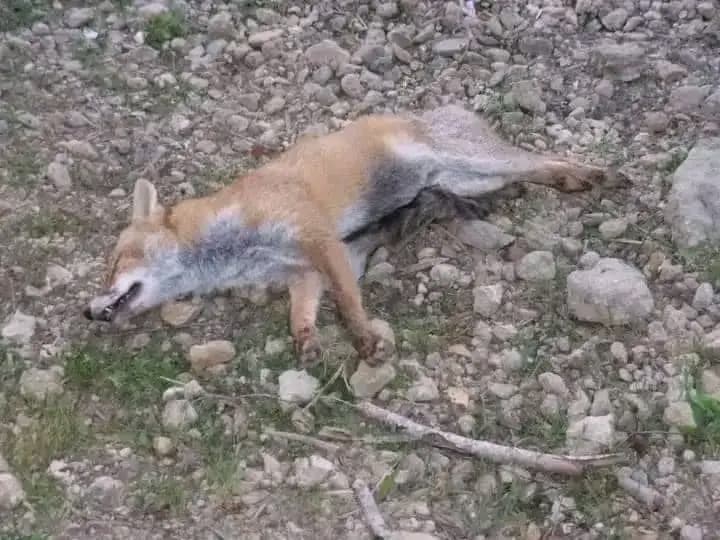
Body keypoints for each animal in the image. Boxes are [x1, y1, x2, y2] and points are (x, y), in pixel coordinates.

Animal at [83, 104, 622, 369]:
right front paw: (308, 344)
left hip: (479, 160)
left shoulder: (321, 240)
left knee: (540, 158)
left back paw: (588, 174)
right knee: (512, 179)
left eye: (115, 264)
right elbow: (302, 315)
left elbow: (347, 301)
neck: (234, 247)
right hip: (470, 179)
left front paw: (364, 339)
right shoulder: (302, 271)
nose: (88, 312)